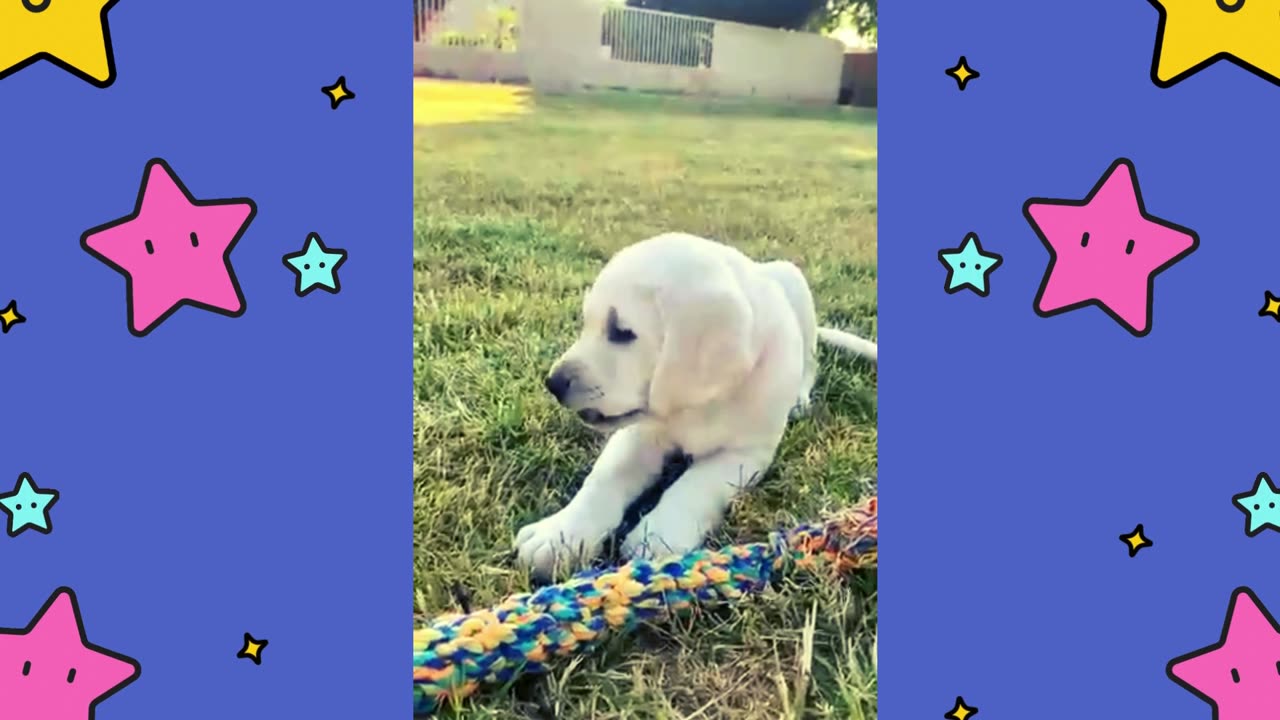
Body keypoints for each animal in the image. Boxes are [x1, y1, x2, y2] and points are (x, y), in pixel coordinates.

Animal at [514, 233, 875, 573]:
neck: (699, 406)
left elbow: (697, 484)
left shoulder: (744, 453)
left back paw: (799, 398)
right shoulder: (641, 433)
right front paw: (560, 535)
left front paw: (659, 534)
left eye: (621, 332)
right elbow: (604, 476)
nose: (553, 383)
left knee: (810, 361)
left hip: (796, 288)